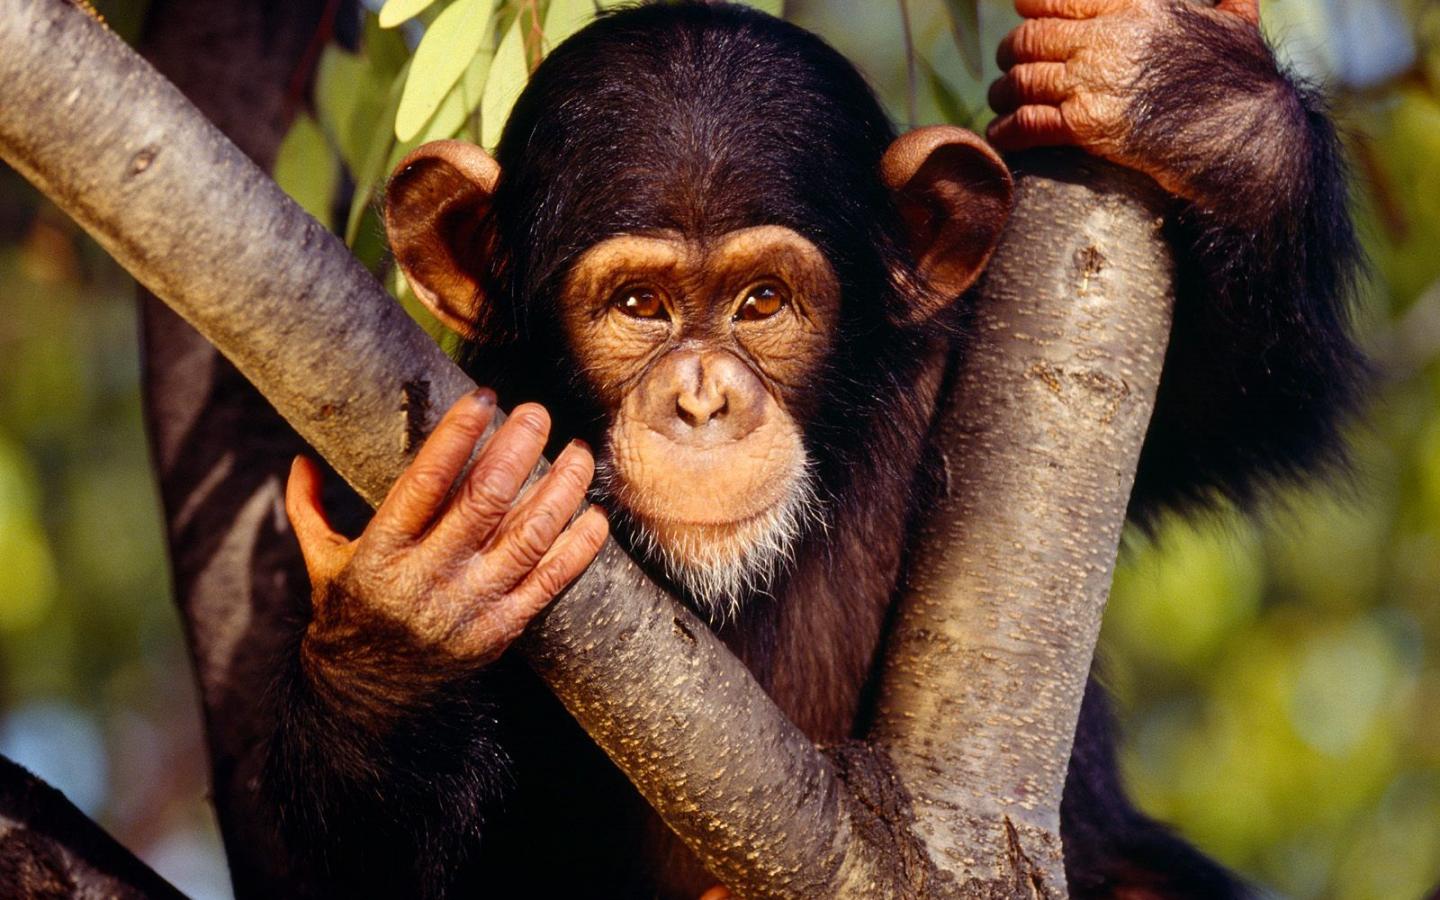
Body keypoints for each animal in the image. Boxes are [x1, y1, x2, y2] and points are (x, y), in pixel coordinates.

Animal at [265, 1, 1366, 897]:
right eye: (638, 306)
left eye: (762, 302)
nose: (702, 400)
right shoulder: (409, 426)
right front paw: (415, 612)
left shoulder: (975, 364)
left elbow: (1242, 397)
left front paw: (1189, 96)